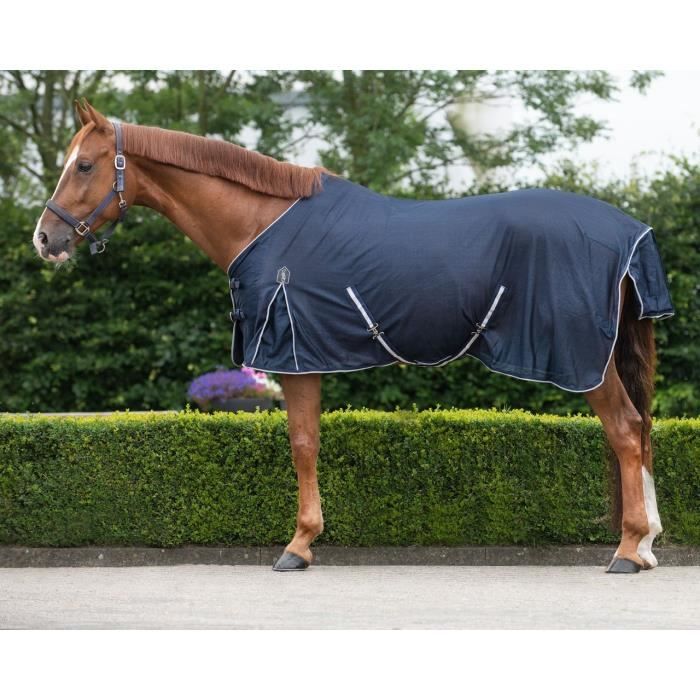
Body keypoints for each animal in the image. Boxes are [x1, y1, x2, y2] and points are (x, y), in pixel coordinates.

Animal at [33, 100, 673, 574]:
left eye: (84, 166)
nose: (44, 239)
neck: (261, 223)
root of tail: (630, 231)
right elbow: (310, 443)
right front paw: (305, 541)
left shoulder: (293, 360)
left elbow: (302, 445)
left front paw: (297, 546)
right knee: (640, 433)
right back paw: (646, 547)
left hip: (586, 360)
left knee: (624, 431)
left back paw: (627, 550)